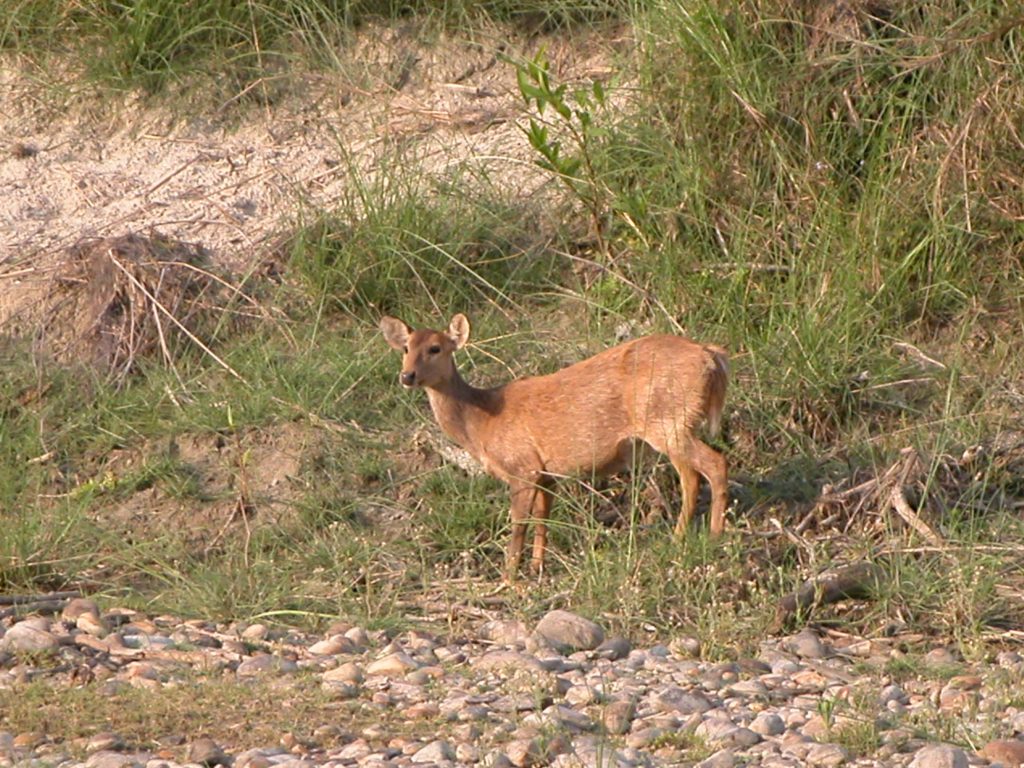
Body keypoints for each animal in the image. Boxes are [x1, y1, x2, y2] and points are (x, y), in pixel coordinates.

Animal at [382, 313, 729, 577]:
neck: (482, 421)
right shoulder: (546, 474)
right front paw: (537, 568)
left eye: (436, 348)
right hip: (673, 424)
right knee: (694, 475)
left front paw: (509, 578)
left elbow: (518, 525)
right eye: (405, 348)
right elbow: (542, 521)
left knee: (712, 465)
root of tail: (710, 354)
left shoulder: (522, 466)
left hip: (668, 422)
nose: (407, 375)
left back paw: (706, 536)